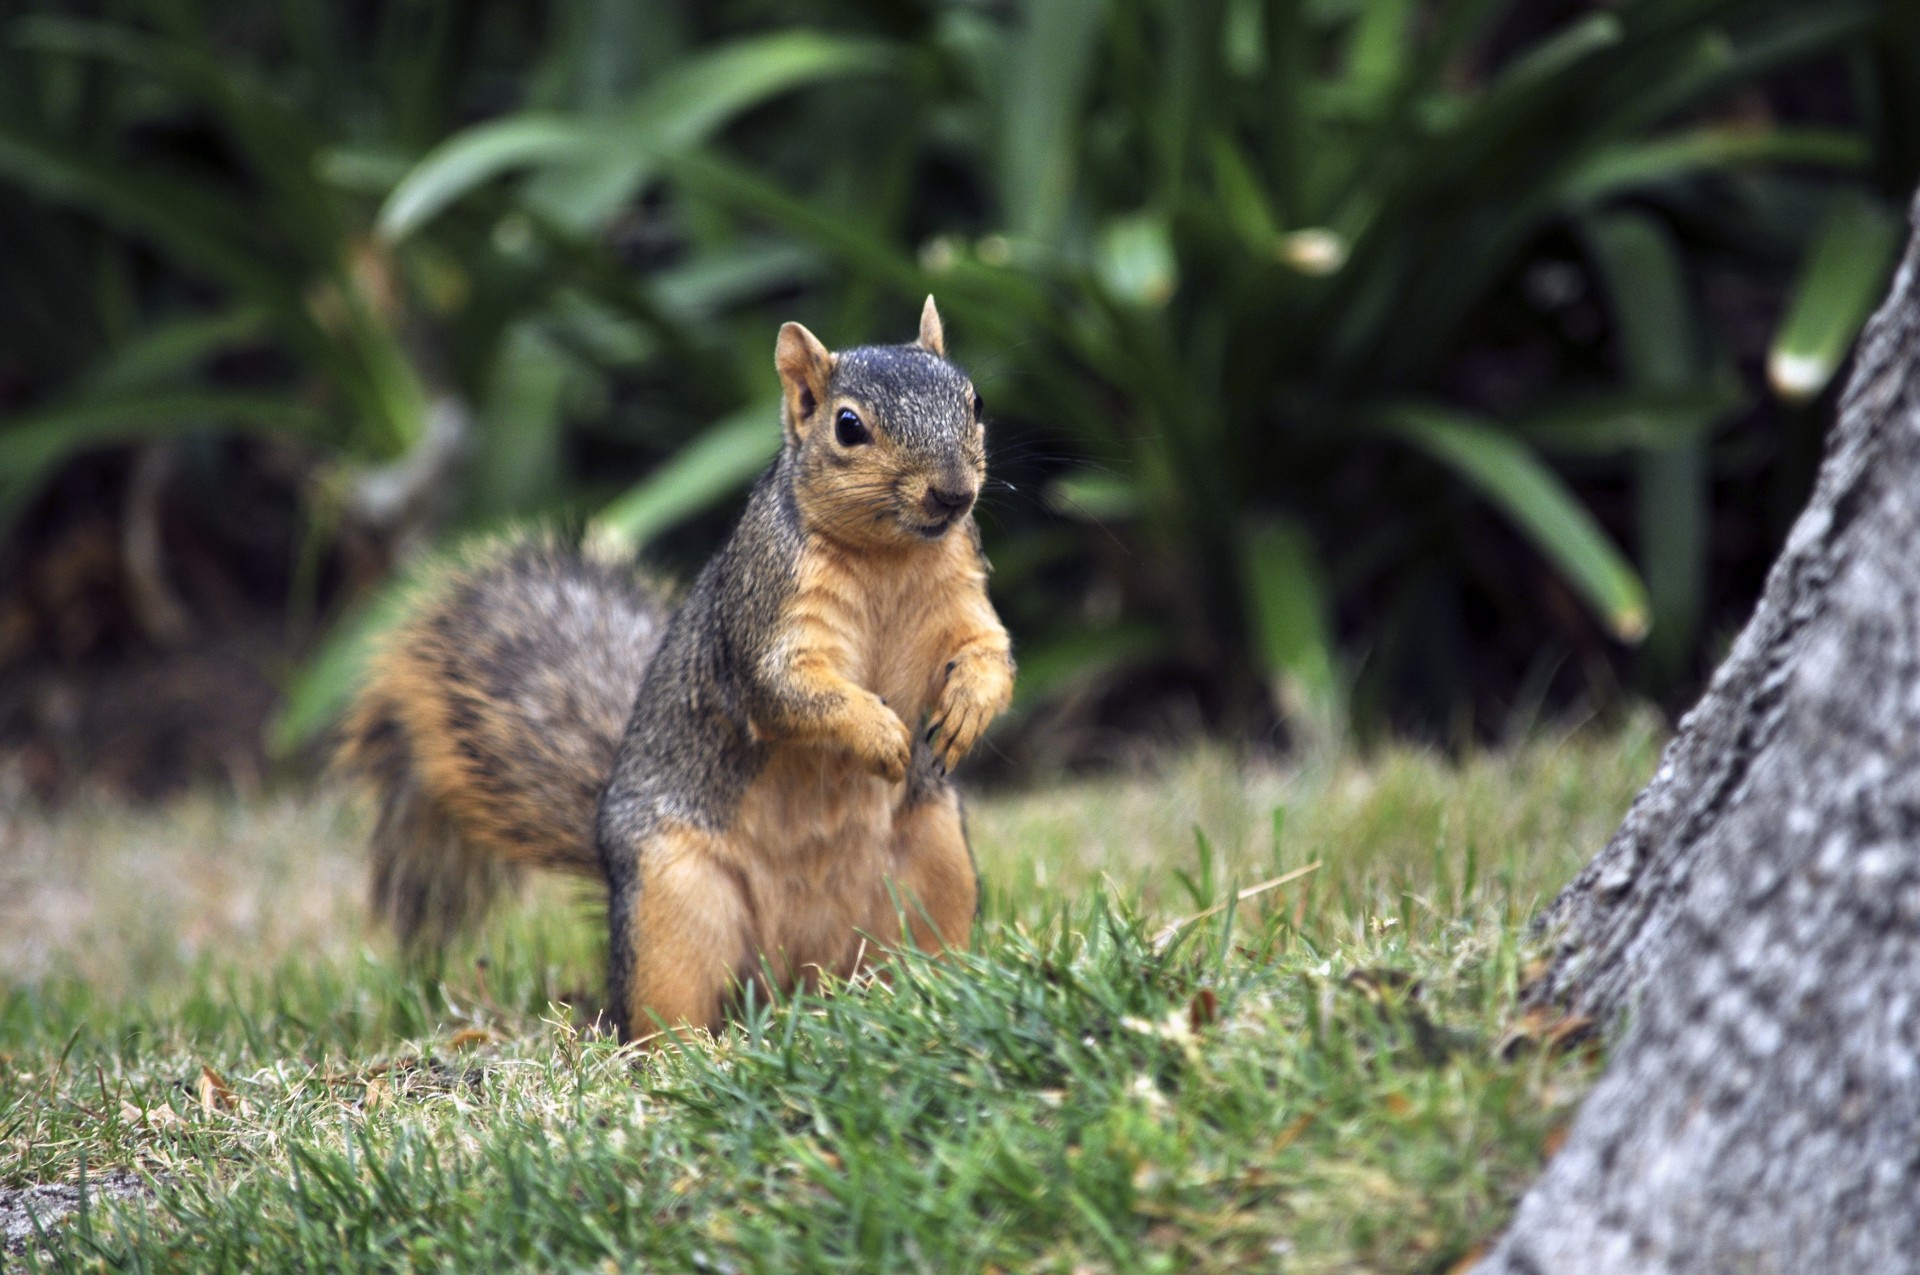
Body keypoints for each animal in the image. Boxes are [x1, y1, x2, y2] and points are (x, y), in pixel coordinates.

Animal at [341, 301, 1021, 1044]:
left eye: (976, 402)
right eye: (849, 427)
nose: (953, 494)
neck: (890, 557)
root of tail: (802, 976)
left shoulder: (961, 594)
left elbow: (990, 651)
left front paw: (967, 710)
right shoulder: (763, 614)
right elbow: (790, 690)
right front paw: (881, 734)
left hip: (938, 861)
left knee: (918, 946)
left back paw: (939, 990)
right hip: (672, 898)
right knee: (665, 1003)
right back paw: (689, 1050)